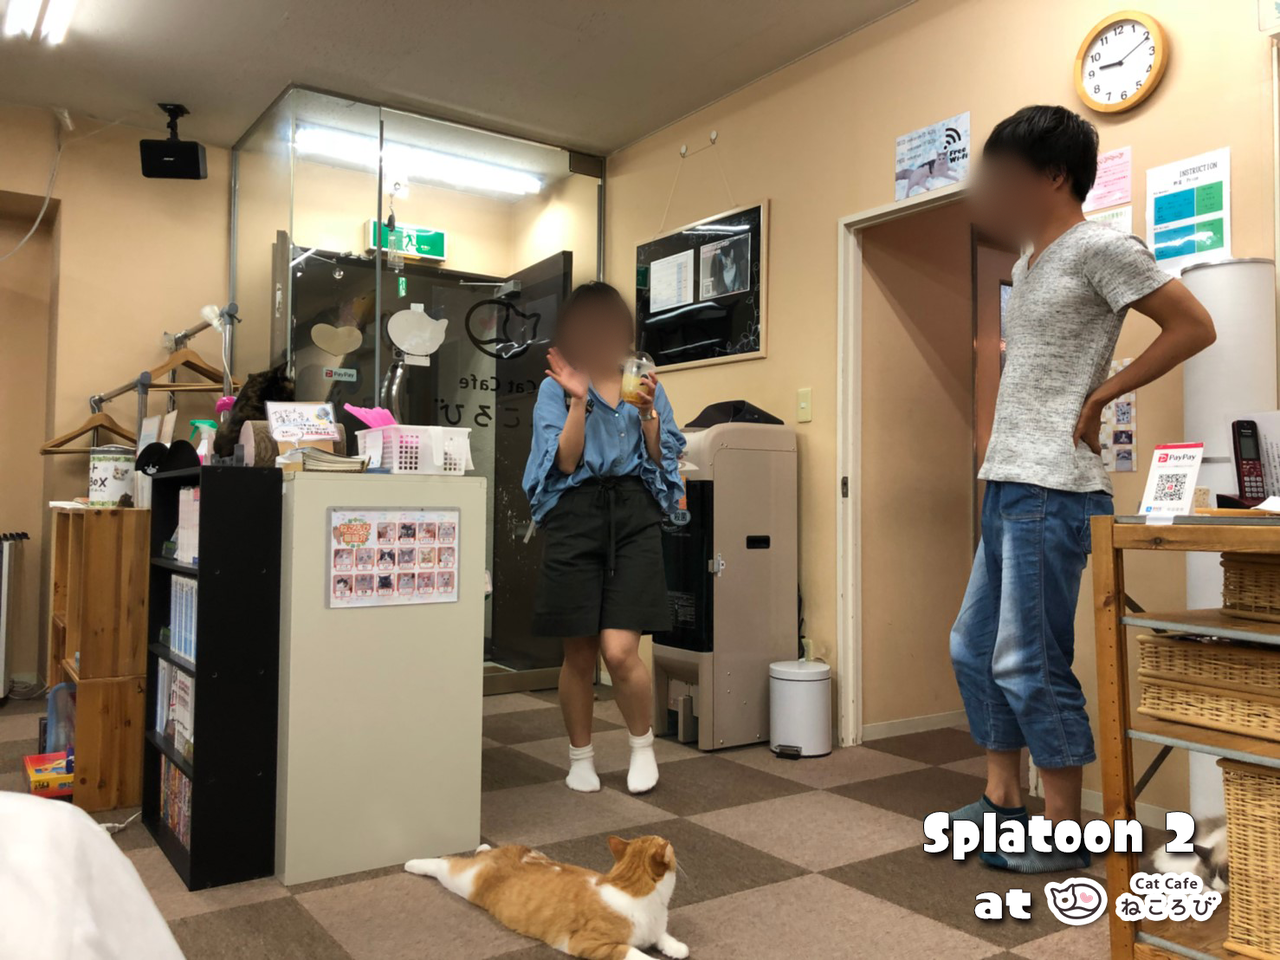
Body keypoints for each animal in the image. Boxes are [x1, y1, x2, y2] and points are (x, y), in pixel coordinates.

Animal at [405, 835, 688, 960]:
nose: (672, 843)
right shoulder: (589, 943)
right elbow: (634, 953)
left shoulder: (655, 930)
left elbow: (664, 937)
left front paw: (676, 948)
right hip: (462, 881)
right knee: (444, 863)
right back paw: (413, 864)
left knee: (481, 851)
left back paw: (482, 847)